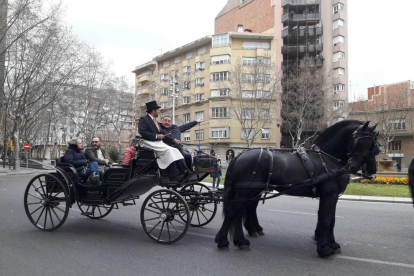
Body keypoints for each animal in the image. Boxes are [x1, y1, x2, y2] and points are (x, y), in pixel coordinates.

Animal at [215, 119, 380, 258]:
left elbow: (330, 219)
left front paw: (332, 244)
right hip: (246, 190)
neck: (327, 158)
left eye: (372, 145)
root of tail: (239, 156)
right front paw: (324, 249)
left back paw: (241, 240)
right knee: (233, 212)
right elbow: (326, 220)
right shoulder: (329, 195)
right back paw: (224, 241)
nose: (354, 166)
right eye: (358, 141)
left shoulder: (330, 197)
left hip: (251, 191)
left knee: (241, 211)